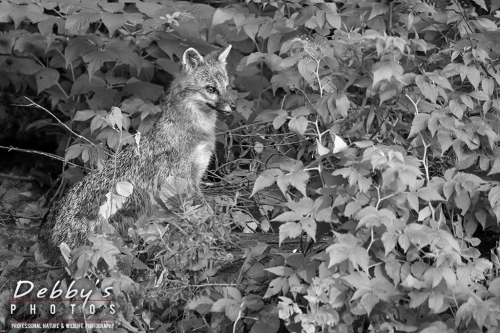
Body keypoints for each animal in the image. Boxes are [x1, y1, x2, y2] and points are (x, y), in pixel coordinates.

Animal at [37, 44, 236, 262]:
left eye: (227, 87)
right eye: (211, 89)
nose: (233, 106)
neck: (195, 133)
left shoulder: (195, 177)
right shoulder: (182, 179)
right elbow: (206, 211)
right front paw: (220, 233)